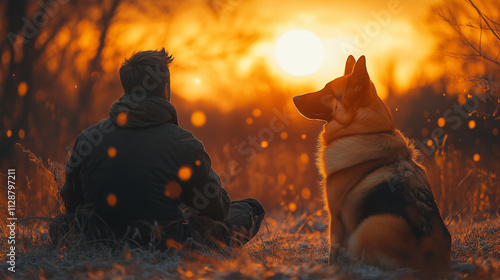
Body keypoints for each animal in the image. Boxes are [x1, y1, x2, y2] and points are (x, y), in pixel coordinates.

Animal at [292, 55, 454, 278]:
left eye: (329, 91)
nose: (294, 98)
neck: (364, 131)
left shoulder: (336, 216)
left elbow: (334, 250)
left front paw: (331, 268)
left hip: (370, 225)